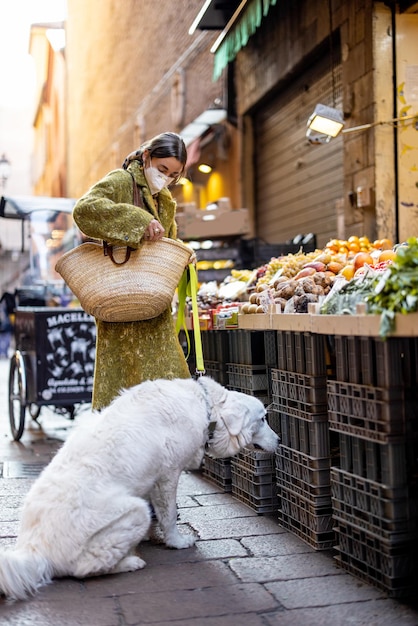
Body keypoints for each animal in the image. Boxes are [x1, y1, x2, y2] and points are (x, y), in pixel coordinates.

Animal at [0, 372, 280, 596]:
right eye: (263, 419)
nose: (279, 440)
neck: (207, 408)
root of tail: (33, 551)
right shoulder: (168, 476)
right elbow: (169, 516)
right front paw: (176, 542)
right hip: (135, 512)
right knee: (84, 569)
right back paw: (130, 562)